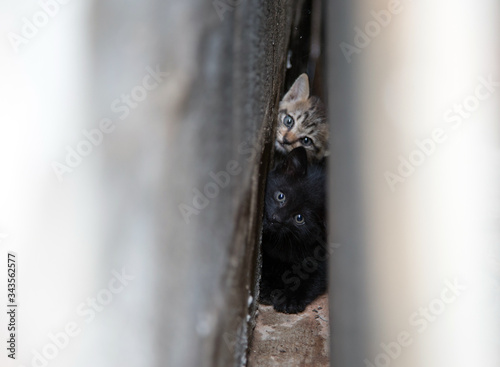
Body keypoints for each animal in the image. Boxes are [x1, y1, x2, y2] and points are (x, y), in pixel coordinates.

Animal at [258, 147, 328, 314]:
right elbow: (270, 264)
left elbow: (311, 278)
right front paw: (267, 285)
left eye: (299, 218)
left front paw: (290, 299)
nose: (276, 218)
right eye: (280, 196)